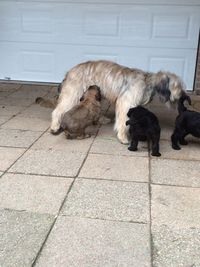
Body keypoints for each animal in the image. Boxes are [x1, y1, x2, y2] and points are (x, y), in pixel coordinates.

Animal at [50, 60, 188, 144]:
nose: (184, 96)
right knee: (58, 111)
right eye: (178, 86)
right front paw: (123, 137)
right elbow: (122, 121)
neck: (148, 82)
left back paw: (102, 119)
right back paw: (54, 127)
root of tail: (70, 71)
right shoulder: (125, 102)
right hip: (73, 93)